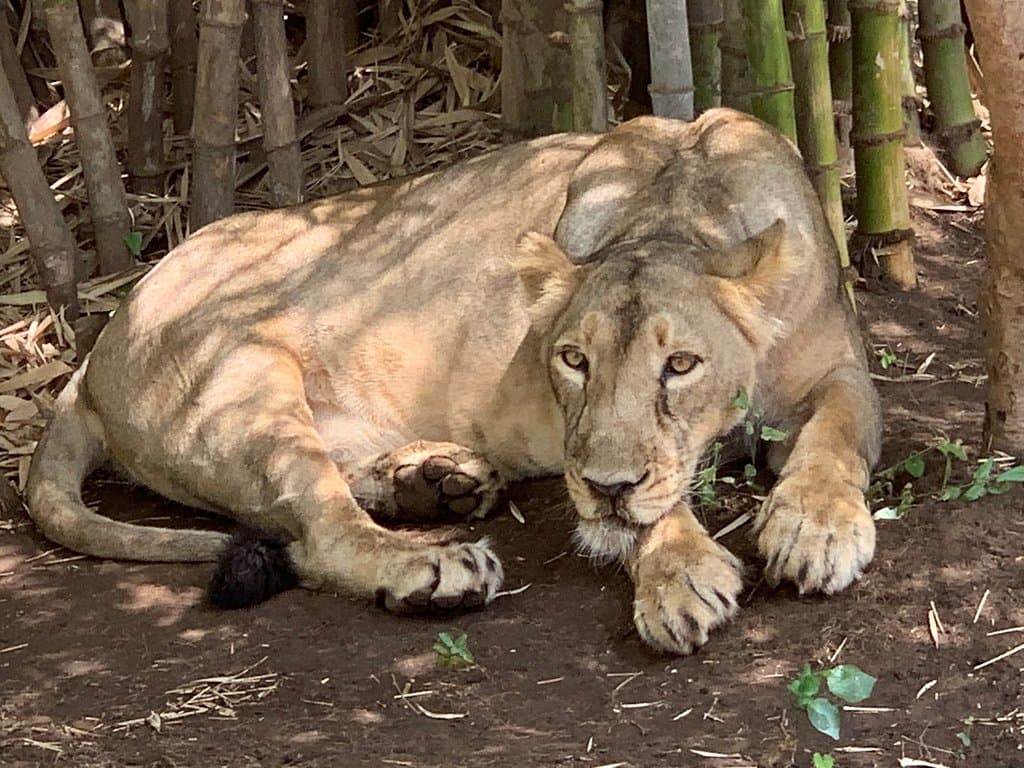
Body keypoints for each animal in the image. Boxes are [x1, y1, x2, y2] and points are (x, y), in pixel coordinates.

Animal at [26, 109, 881, 654]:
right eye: (573, 360)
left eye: (681, 365)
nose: (606, 487)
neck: (678, 206)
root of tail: (96, 350)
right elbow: (651, 501)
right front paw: (678, 575)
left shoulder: (843, 366)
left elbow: (837, 432)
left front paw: (815, 525)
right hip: (240, 379)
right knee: (318, 534)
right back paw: (434, 564)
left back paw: (434, 481)